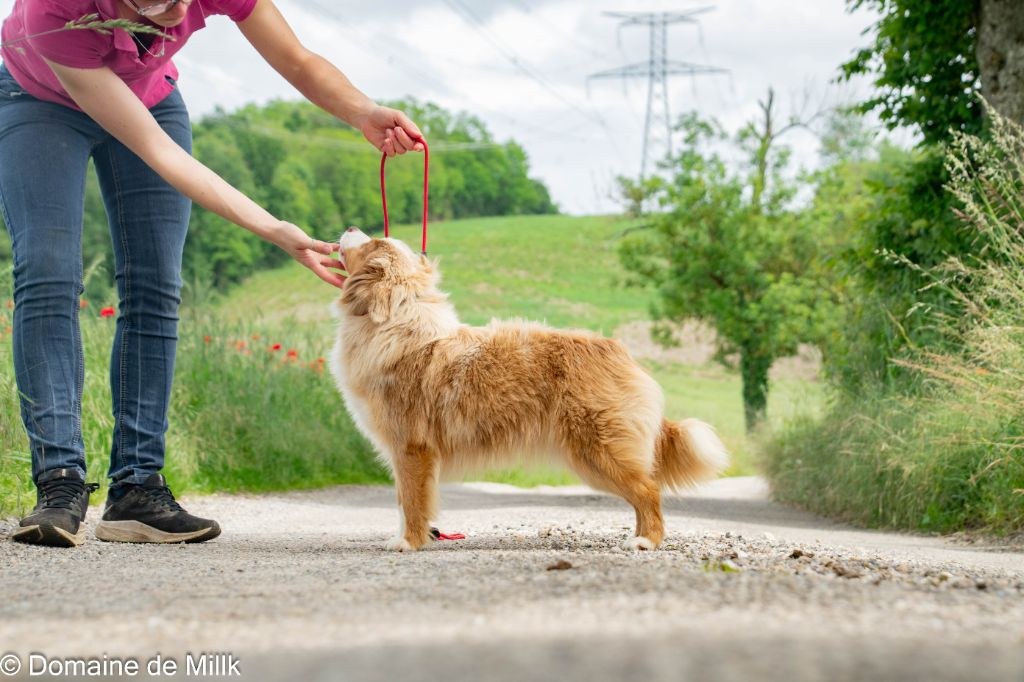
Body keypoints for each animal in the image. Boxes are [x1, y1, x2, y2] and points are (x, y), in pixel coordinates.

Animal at [329, 225, 729, 548]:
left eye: (374, 243)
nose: (349, 227)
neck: (393, 322)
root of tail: (621, 353)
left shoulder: (411, 447)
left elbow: (412, 502)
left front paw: (408, 543)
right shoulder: (406, 451)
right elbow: (402, 501)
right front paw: (404, 537)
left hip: (598, 450)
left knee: (649, 491)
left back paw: (646, 542)